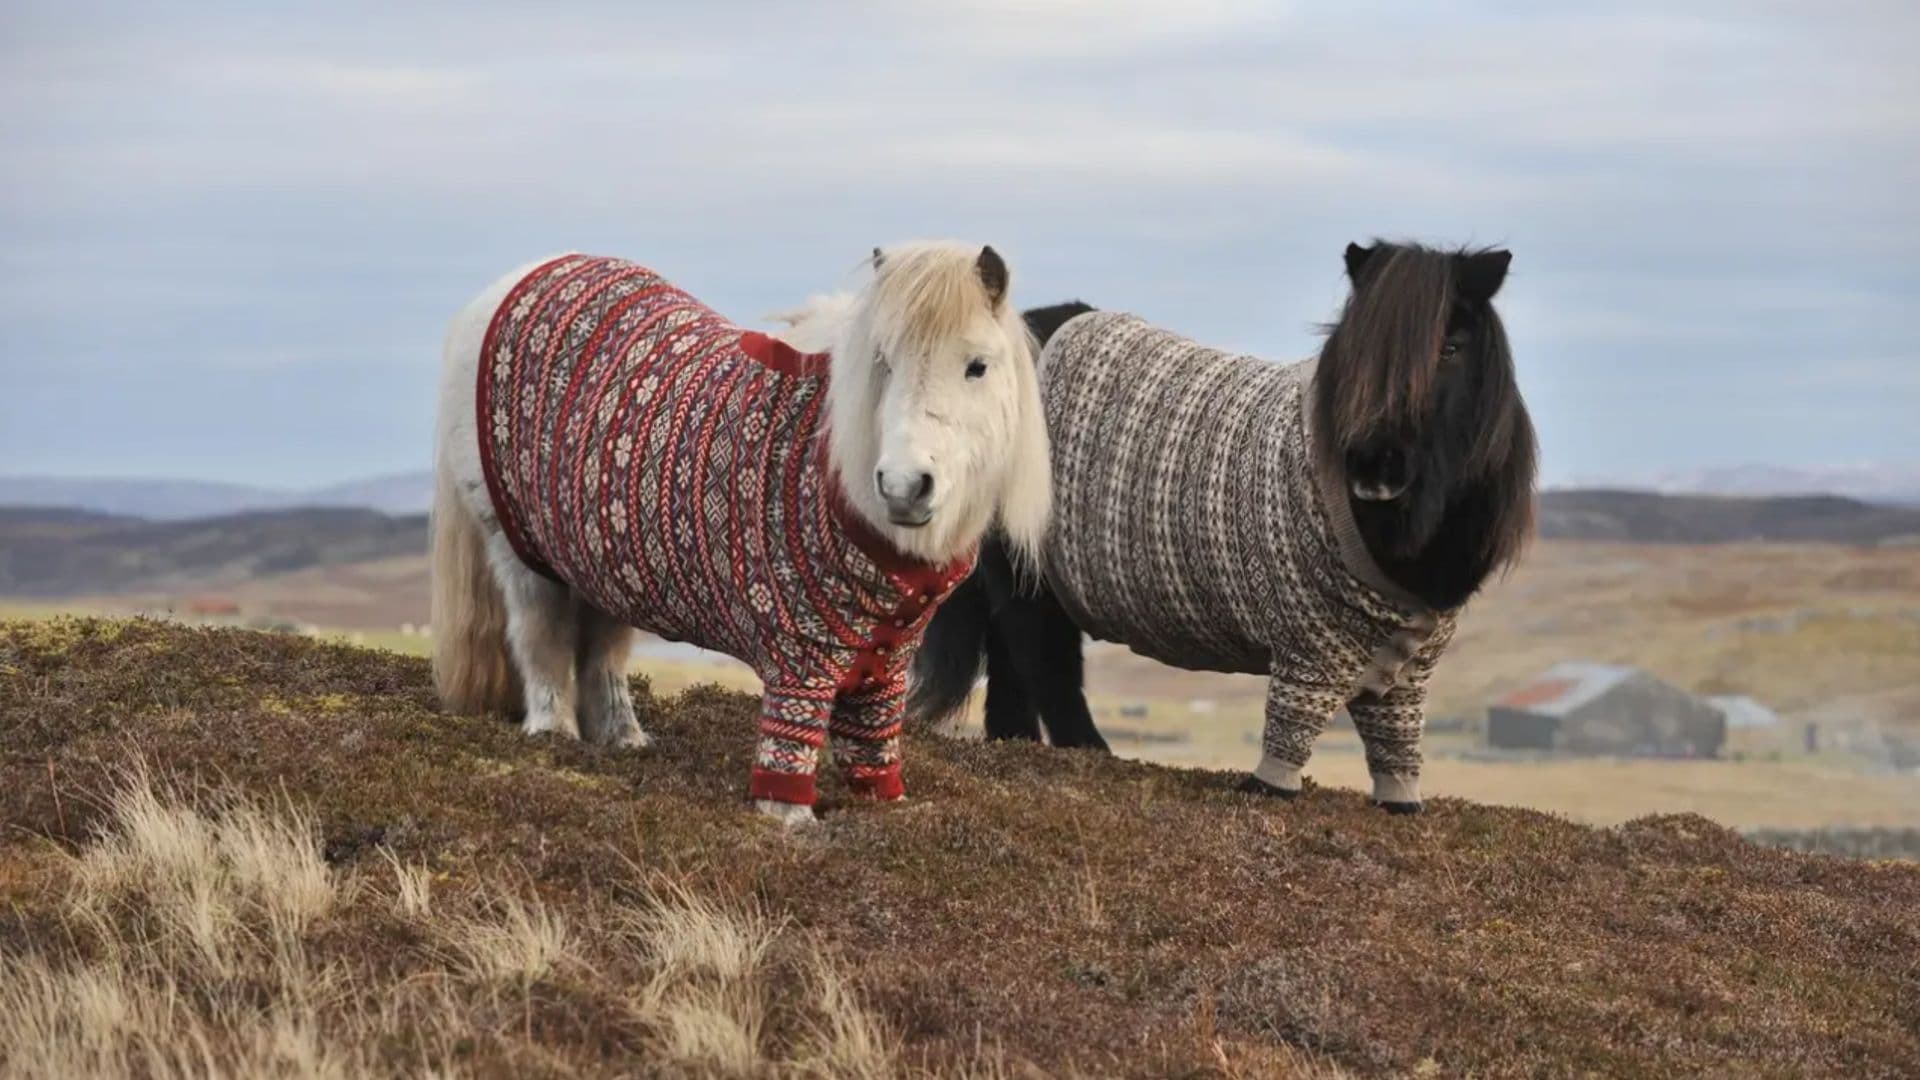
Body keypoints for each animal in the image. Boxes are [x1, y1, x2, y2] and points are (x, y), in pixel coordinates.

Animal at [435, 239, 1052, 818]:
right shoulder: (799, 656)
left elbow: (873, 749)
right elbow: (790, 747)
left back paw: (624, 740)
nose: (903, 486)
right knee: (539, 636)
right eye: (883, 361)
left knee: (602, 653)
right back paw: (553, 735)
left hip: (604, 562)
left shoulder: (886, 665)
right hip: (519, 553)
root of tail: (513, 284)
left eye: (978, 365)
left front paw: (886, 808)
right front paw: (790, 819)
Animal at [906, 237, 1536, 807]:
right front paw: (1270, 790)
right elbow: (1290, 731)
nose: (1374, 468)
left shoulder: (1408, 672)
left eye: (1452, 347)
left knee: (1013, 660)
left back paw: (1019, 744)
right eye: (1355, 350)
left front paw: (1400, 802)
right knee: (1043, 661)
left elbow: (1395, 743)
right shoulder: (1306, 649)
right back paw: (1088, 751)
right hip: (1030, 573)